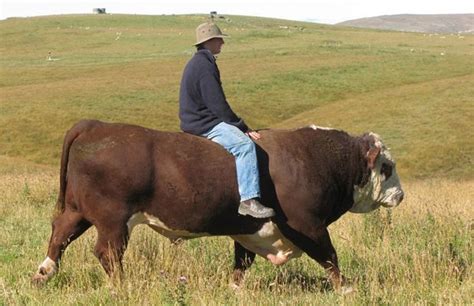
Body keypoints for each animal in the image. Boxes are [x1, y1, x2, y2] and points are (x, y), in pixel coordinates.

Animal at [32, 119, 404, 292]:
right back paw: (123, 286)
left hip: (78, 211)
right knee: (107, 253)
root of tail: (95, 125)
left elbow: (242, 262)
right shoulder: (308, 226)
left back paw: (43, 273)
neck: (314, 159)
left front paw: (234, 289)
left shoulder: (251, 231)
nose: (400, 195)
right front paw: (347, 288)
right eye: (386, 166)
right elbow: (330, 257)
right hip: (112, 220)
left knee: (59, 235)